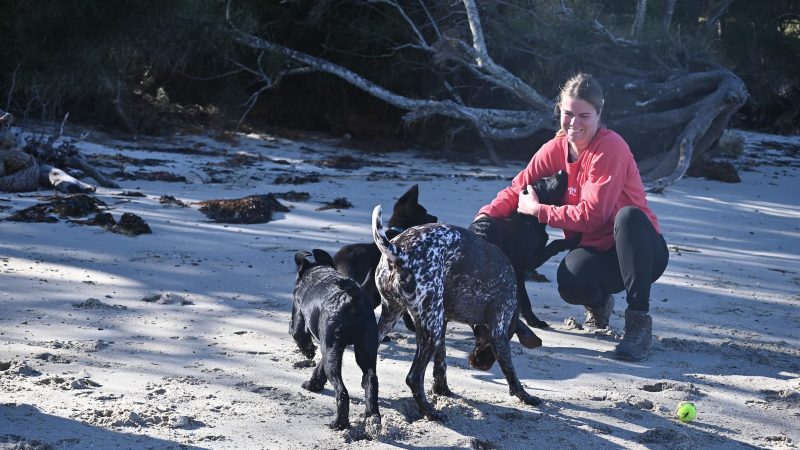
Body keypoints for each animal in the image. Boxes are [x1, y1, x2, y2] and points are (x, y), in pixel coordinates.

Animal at [372, 206, 540, 420]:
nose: (479, 365)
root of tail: (398, 251)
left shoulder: (442, 323)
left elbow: (440, 365)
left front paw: (442, 390)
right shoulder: (499, 330)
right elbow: (511, 372)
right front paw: (524, 395)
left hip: (396, 318)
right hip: (430, 332)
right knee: (413, 378)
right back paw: (430, 412)